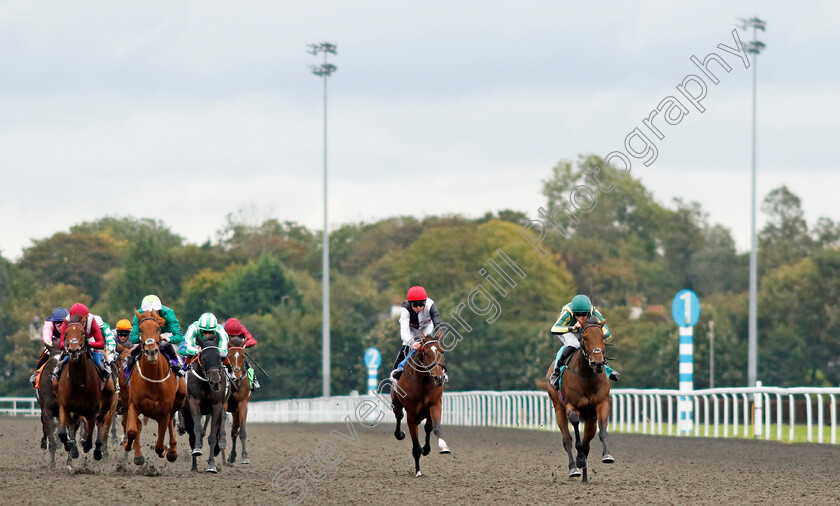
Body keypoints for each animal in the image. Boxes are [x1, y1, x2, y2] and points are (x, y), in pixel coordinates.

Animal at [122, 310, 186, 464]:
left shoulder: (164, 411)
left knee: (171, 421)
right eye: (140, 330)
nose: (151, 351)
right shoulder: (134, 405)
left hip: (179, 399)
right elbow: (132, 430)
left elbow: (159, 444)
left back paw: (172, 450)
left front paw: (165, 450)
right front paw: (128, 446)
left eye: (158, 329)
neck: (153, 380)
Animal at [394, 334, 452, 476]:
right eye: (426, 353)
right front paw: (418, 471)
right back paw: (400, 434)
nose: (439, 377)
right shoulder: (411, 414)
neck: (422, 381)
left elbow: (435, 428)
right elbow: (415, 445)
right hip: (396, 403)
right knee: (398, 416)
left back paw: (426, 448)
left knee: (427, 428)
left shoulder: (435, 404)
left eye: (442, 352)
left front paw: (443, 447)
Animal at [544, 316, 612, 482]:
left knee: (587, 441)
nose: (597, 363)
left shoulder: (601, 404)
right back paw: (574, 468)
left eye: (602, 337)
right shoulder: (571, 406)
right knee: (567, 440)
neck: (587, 375)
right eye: (585, 338)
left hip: (590, 418)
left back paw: (585, 477)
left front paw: (607, 455)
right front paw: (579, 460)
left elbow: (602, 432)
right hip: (558, 408)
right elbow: (575, 433)